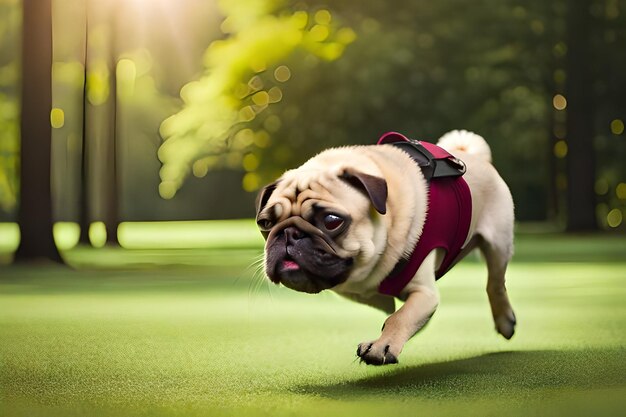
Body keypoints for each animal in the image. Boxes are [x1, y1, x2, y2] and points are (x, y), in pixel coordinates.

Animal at [252, 131, 512, 364]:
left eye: (332, 221)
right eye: (265, 224)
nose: (289, 234)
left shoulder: (424, 294)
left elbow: (400, 317)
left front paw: (381, 346)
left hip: (499, 242)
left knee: (495, 282)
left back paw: (505, 321)